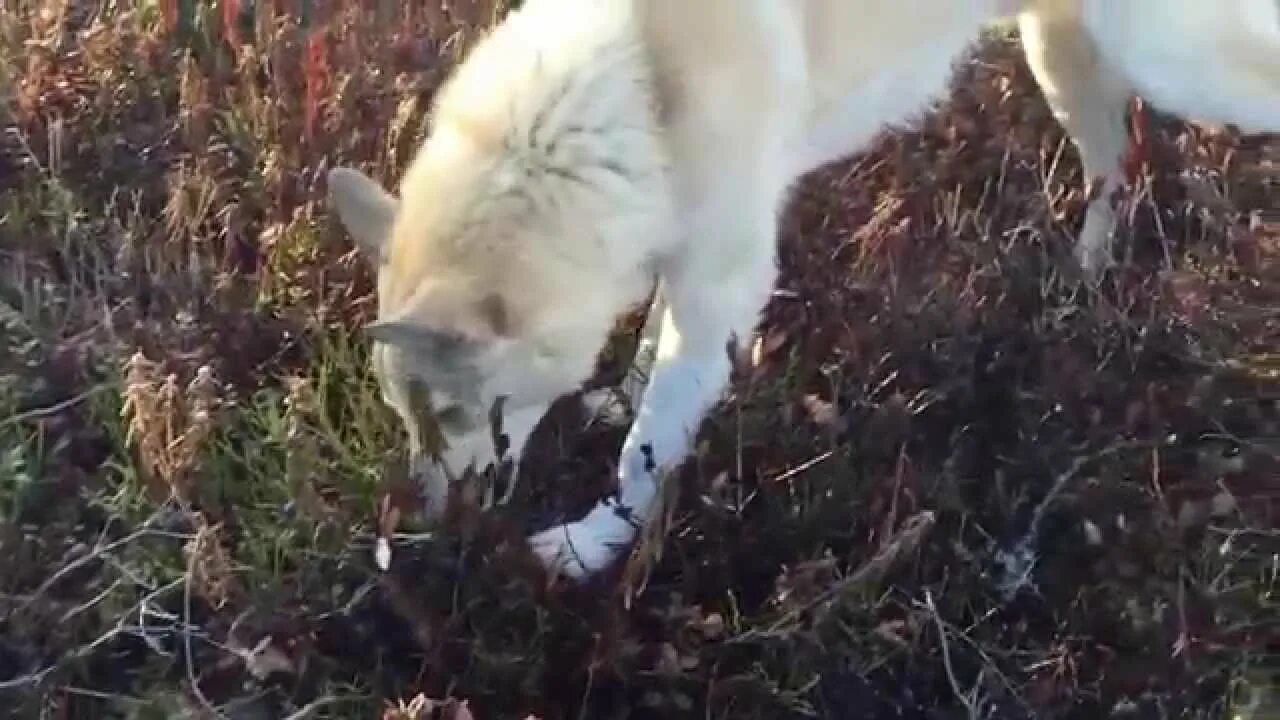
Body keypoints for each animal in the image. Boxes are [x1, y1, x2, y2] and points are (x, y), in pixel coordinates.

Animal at [327, 0, 1280, 576]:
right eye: (408, 417)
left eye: (454, 414)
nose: (435, 523)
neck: (635, 93)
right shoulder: (693, 264)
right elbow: (643, 362)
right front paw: (613, 401)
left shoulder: (722, 282)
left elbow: (645, 455)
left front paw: (590, 548)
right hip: (1064, 61)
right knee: (1117, 167)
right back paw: (1083, 283)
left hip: (1170, 60)